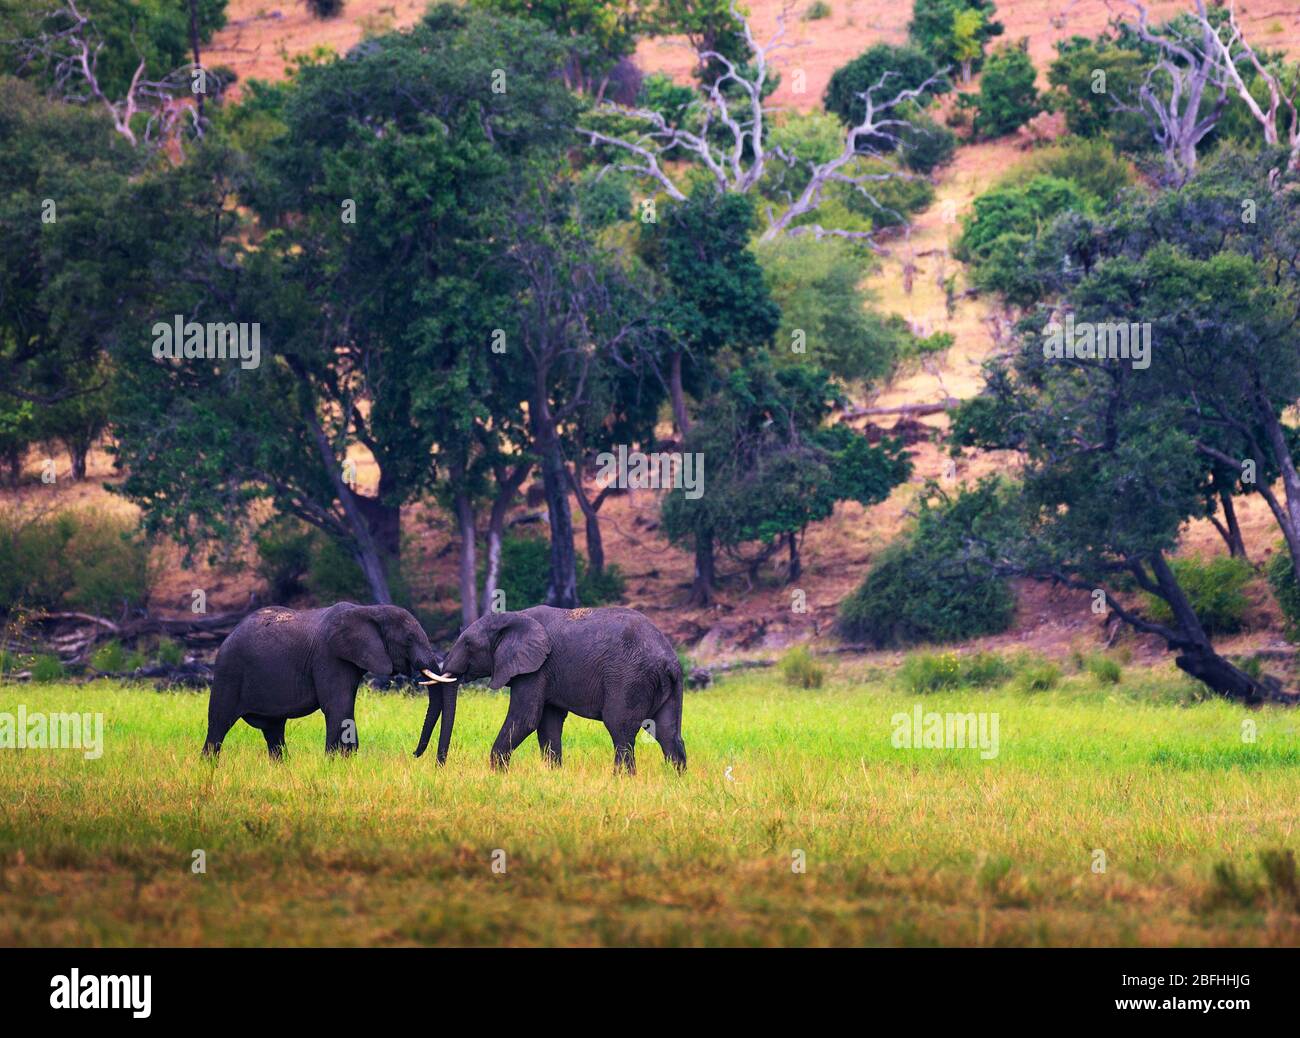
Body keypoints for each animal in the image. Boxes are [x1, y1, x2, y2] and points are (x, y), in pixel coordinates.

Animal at [202, 600, 447, 764]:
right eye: (409, 639)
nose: (414, 754)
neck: (369, 609)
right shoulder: (328, 656)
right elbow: (337, 706)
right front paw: (335, 762)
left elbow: (344, 706)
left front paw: (346, 761)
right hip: (229, 672)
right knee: (219, 722)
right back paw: (209, 765)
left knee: (274, 729)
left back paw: (283, 767)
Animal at [423, 606, 691, 775]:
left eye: (468, 644)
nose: (440, 767)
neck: (513, 617)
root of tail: (670, 660)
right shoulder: (546, 672)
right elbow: (548, 722)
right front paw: (554, 774)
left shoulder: (536, 669)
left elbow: (525, 719)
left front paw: (497, 774)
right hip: (665, 684)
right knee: (667, 732)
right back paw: (675, 780)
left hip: (629, 678)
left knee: (620, 728)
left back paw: (621, 779)